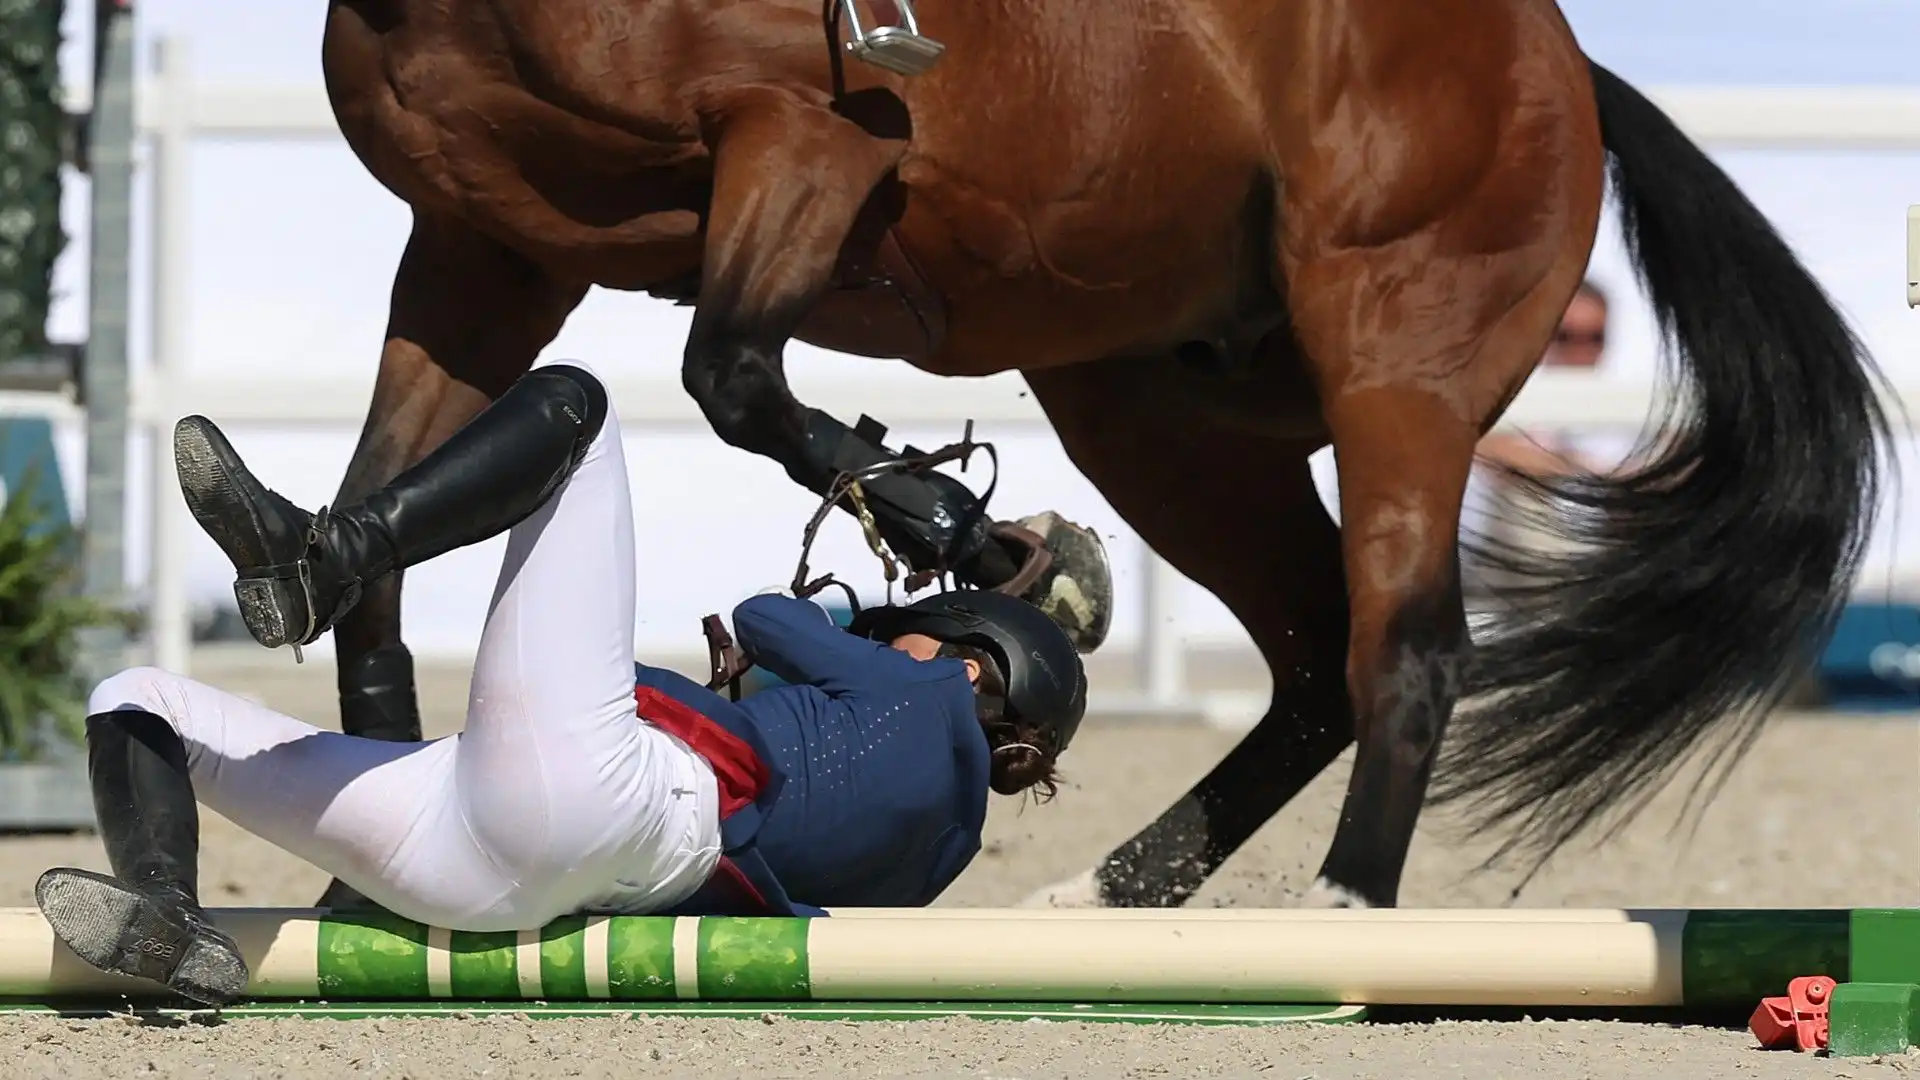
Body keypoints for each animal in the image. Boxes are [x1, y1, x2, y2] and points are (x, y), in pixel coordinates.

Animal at [307, 0, 1881, 907]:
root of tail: (1565, 60)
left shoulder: (807, 142)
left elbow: (734, 378)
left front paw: (956, 527)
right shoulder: (484, 250)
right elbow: (375, 504)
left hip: (1397, 367)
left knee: (1410, 647)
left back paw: (1342, 912)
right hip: (1160, 416)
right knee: (1316, 655)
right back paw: (1125, 886)